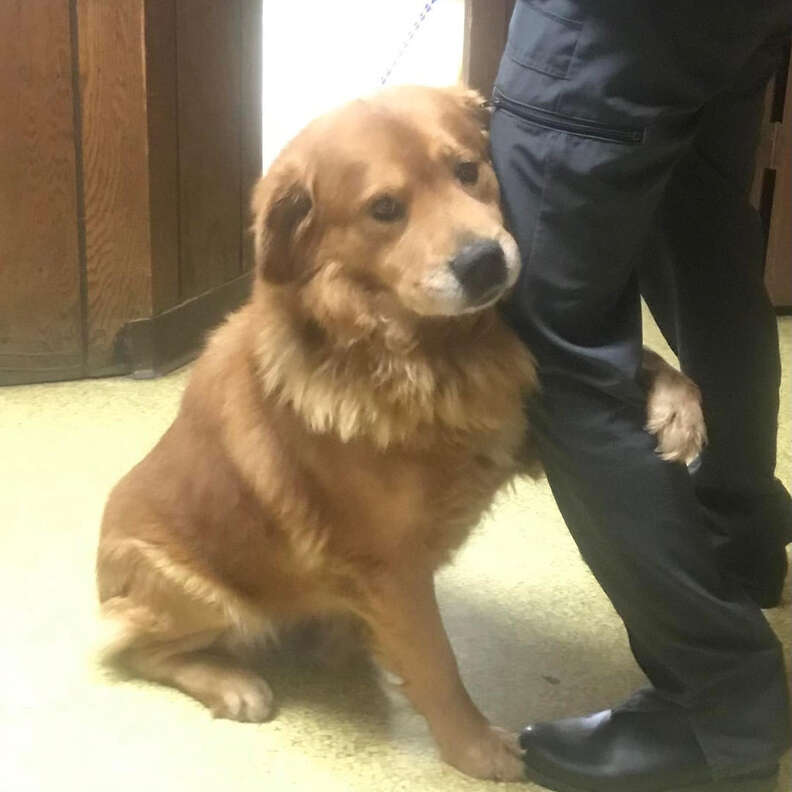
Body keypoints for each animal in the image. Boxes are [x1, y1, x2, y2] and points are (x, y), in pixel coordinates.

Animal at [94, 85, 704, 780]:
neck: (419, 354)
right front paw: (474, 748)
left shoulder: (510, 443)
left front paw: (678, 403)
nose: (484, 262)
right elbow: (437, 662)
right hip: (207, 597)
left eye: (467, 170)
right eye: (384, 209)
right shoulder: (390, 566)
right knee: (136, 650)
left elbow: (640, 369)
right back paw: (232, 682)